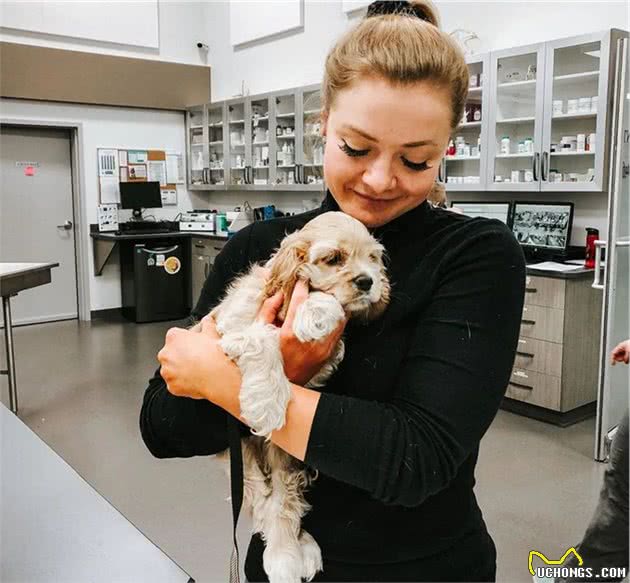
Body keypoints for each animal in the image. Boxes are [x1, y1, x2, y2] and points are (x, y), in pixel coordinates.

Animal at [210, 213, 392, 583]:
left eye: (372, 258)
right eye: (334, 258)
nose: (367, 281)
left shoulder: (326, 361)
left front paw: (318, 310)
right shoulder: (230, 330)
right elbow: (263, 335)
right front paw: (265, 403)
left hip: (285, 456)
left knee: (284, 500)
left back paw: (293, 552)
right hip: (242, 460)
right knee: (264, 501)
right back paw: (284, 557)